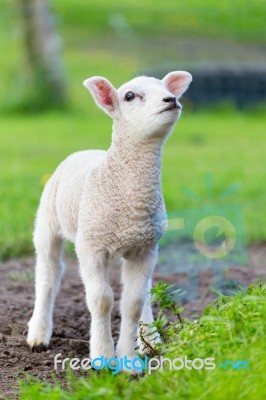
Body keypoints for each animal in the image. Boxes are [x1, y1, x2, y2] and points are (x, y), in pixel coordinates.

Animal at [26, 71, 191, 368]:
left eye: (165, 88)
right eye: (130, 96)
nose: (171, 99)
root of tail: (86, 150)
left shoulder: (145, 248)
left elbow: (133, 302)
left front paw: (130, 359)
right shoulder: (91, 248)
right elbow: (101, 300)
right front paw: (103, 356)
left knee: (145, 291)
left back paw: (150, 340)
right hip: (48, 223)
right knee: (48, 275)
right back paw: (38, 334)